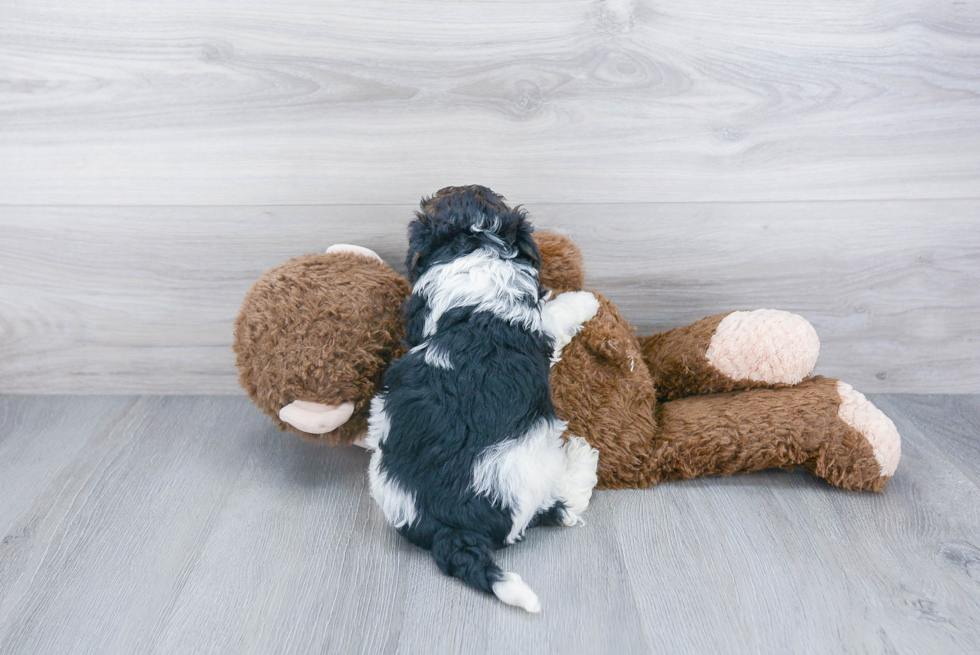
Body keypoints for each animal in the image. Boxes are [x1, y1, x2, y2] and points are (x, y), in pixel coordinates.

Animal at [366, 186, 600, 616]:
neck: (472, 247)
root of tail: (451, 528)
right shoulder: (538, 323)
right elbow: (557, 312)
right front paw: (584, 300)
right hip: (534, 469)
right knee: (562, 506)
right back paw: (582, 456)